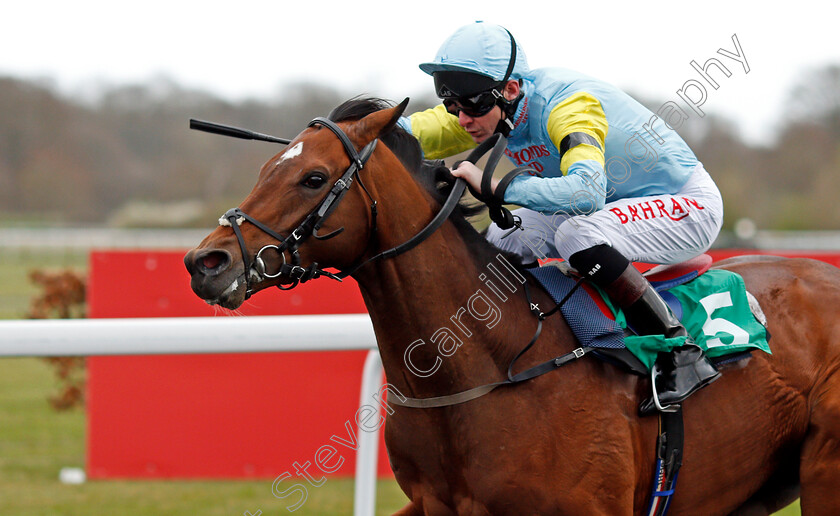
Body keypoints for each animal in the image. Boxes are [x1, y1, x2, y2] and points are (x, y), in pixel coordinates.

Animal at [184, 98, 840, 516]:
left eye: (315, 178)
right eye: (266, 168)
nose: (205, 263)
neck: (487, 366)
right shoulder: (436, 506)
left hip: (823, 473)